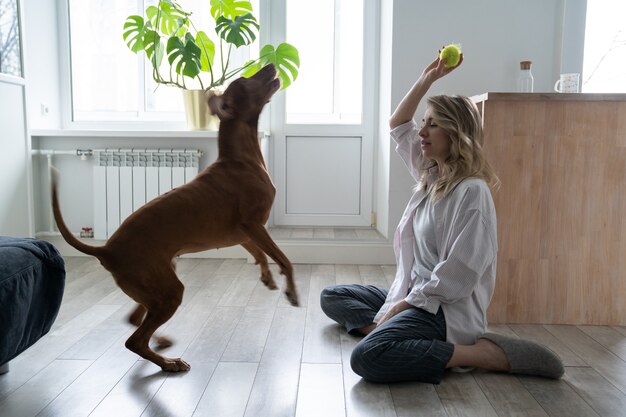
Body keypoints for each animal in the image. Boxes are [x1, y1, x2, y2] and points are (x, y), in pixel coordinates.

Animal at [50, 64, 298, 370]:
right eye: (244, 80)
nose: (271, 66)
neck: (241, 158)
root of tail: (106, 250)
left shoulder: (245, 234)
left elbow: (262, 255)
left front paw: (267, 276)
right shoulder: (252, 226)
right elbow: (285, 260)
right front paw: (292, 291)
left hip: (158, 284)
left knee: (134, 320)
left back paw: (161, 343)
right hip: (169, 290)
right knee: (134, 340)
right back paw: (169, 363)